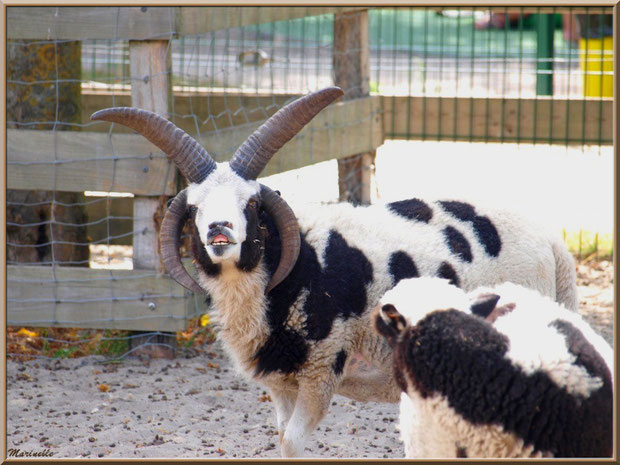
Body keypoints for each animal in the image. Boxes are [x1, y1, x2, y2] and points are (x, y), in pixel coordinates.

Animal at [89, 88, 580, 456]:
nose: (220, 231)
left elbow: (293, 443)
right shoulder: (282, 383)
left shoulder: (323, 370)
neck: (293, 272)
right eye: (194, 208)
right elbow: (281, 440)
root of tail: (553, 243)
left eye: (253, 204)